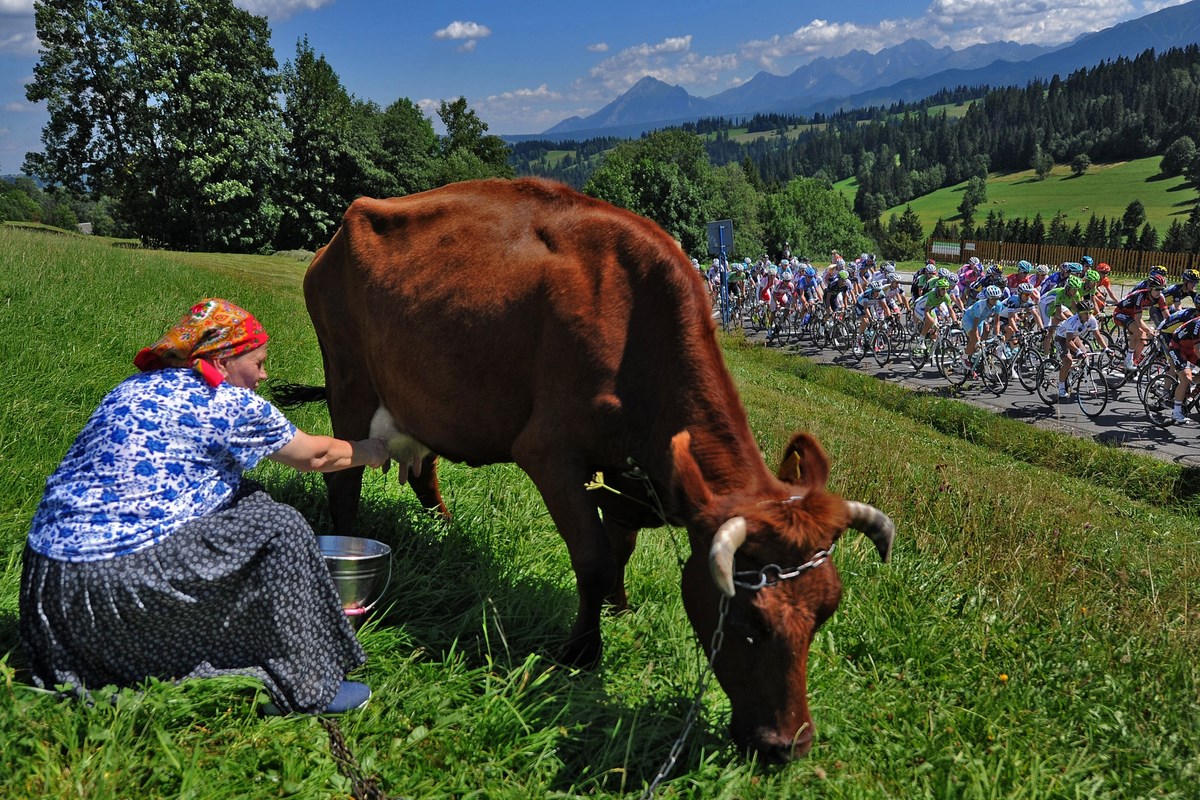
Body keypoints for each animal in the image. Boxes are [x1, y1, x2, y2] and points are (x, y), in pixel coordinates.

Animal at [280, 178, 892, 762]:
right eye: (745, 622)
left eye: (826, 611)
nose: (788, 746)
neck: (637, 328)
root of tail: (343, 227)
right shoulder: (549, 452)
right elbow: (593, 556)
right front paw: (582, 650)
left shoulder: (633, 472)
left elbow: (619, 544)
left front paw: (620, 609)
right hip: (349, 379)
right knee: (343, 478)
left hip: (424, 397)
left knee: (424, 473)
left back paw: (446, 530)